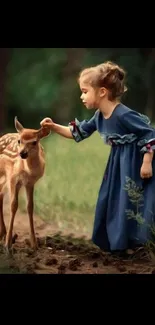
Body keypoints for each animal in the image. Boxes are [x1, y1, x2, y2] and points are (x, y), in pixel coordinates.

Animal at [0, 115, 50, 252]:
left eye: (34, 142)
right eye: (19, 141)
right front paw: (8, 245)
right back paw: (4, 235)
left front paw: (34, 244)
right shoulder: (13, 179)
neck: (28, 171)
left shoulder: (30, 183)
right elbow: (13, 206)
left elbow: (30, 206)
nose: (22, 153)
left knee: (0, 196)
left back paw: (2, 233)